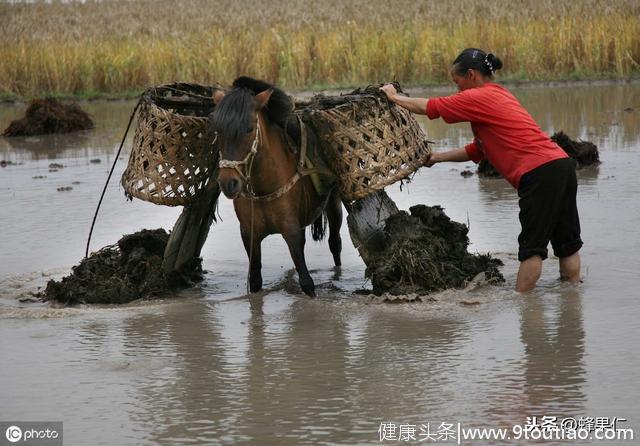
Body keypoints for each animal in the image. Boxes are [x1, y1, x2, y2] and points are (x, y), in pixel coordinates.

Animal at [210, 76, 342, 296]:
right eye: (218, 131)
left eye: (249, 129)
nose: (228, 183)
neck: (263, 187)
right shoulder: (249, 234)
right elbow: (255, 281)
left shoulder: (292, 231)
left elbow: (307, 282)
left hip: (333, 204)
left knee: (335, 243)